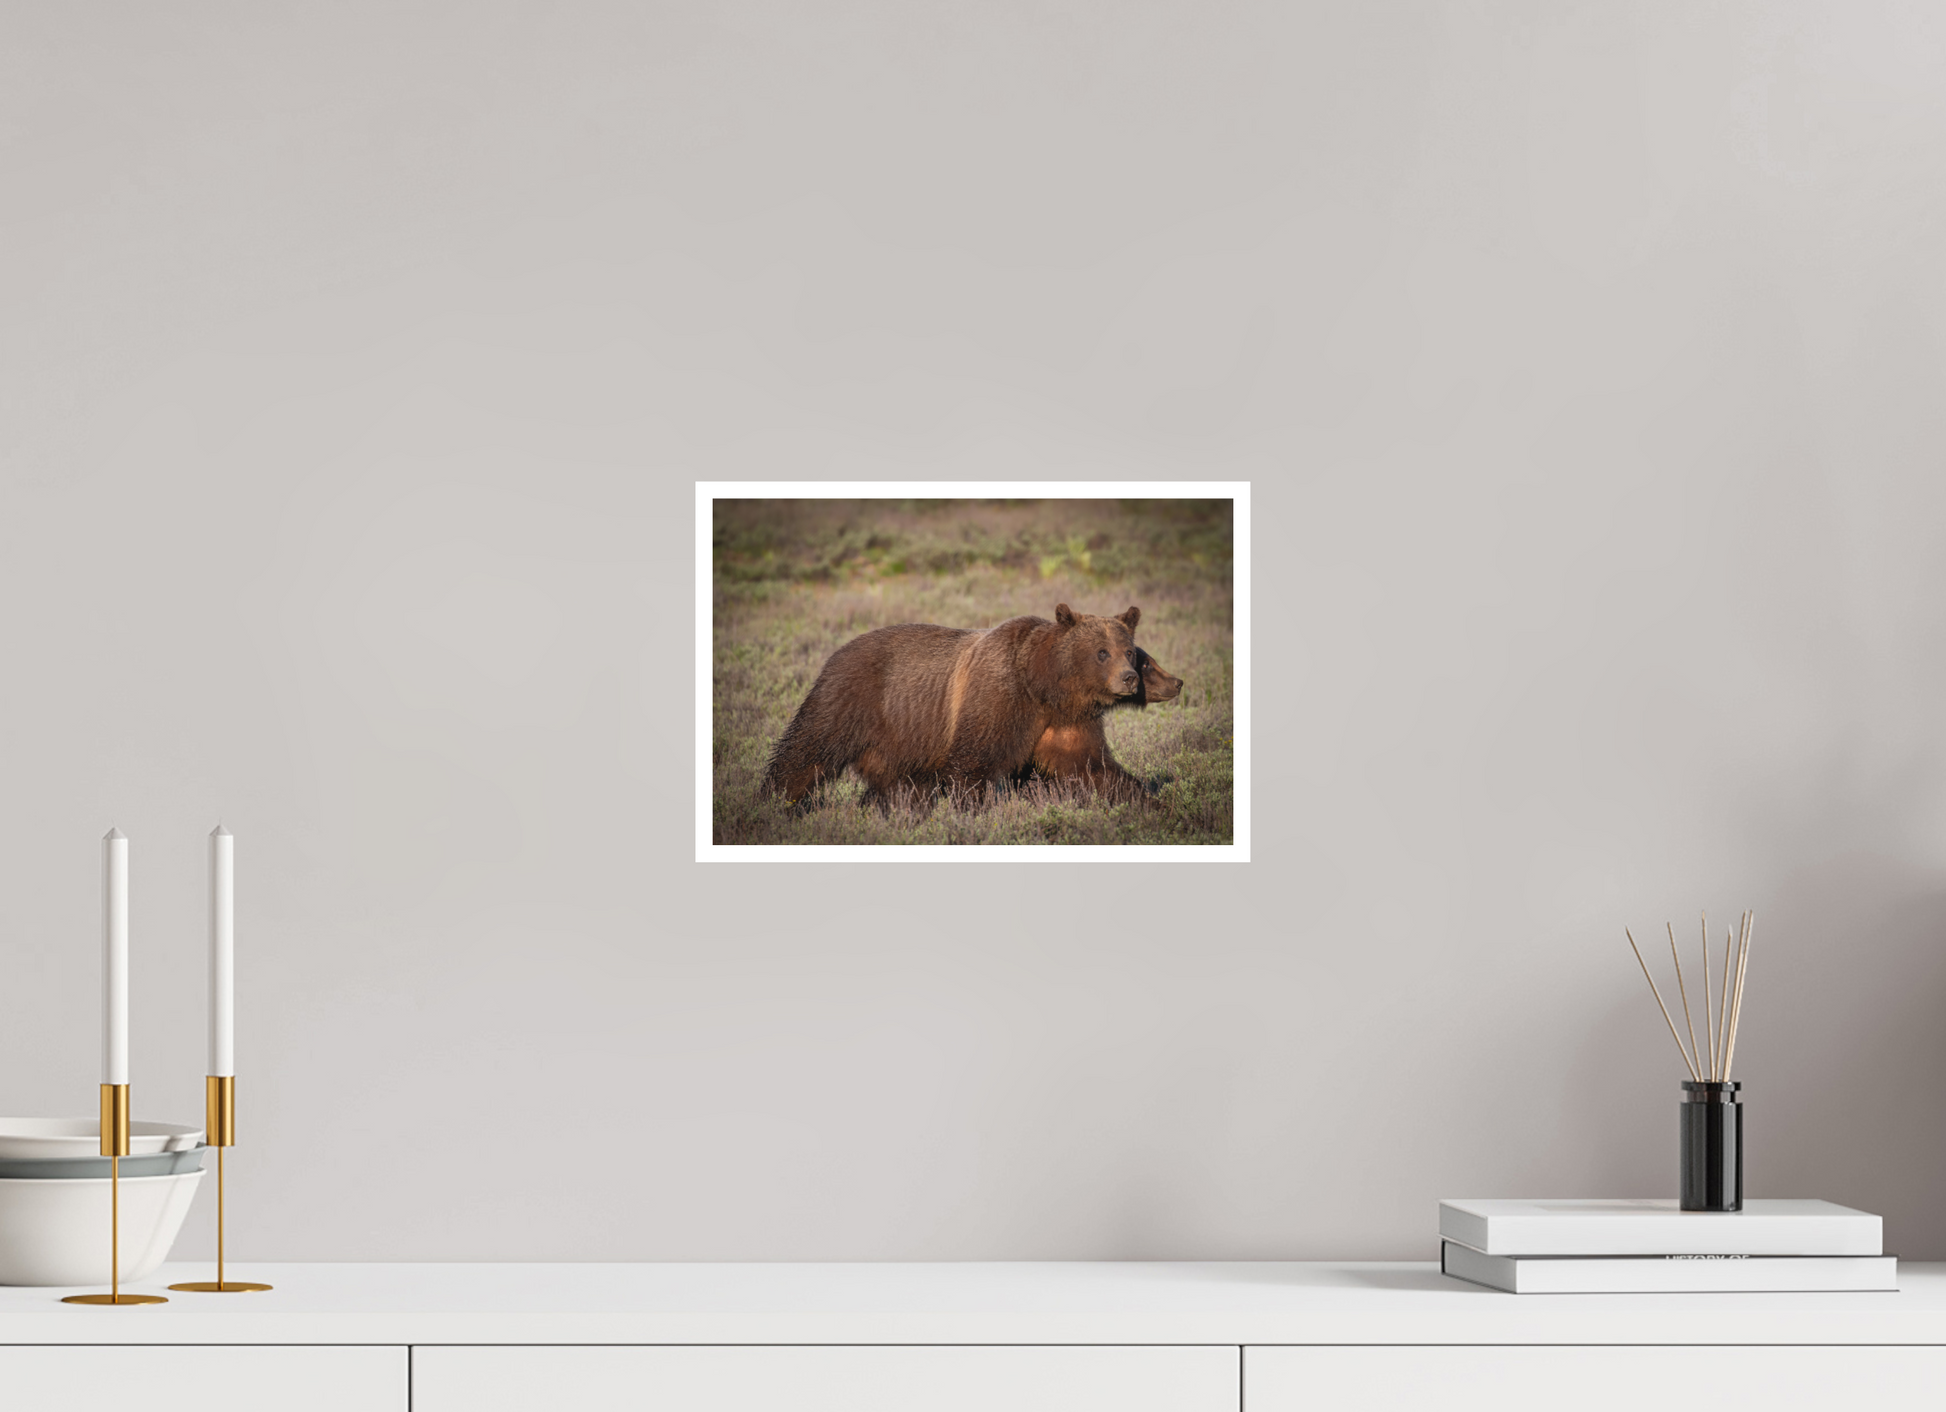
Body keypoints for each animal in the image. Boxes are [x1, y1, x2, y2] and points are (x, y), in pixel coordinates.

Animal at [762, 603, 1143, 807]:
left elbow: (1093, 768)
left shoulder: (1066, 722)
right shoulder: (998, 699)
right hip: (850, 699)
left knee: (899, 786)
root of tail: (837, 651)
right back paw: (776, 801)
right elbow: (972, 765)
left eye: (1129, 651)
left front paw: (1142, 798)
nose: (1129, 678)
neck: (1044, 687)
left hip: (897, 741)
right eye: (1102, 652)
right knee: (807, 751)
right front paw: (974, 809)